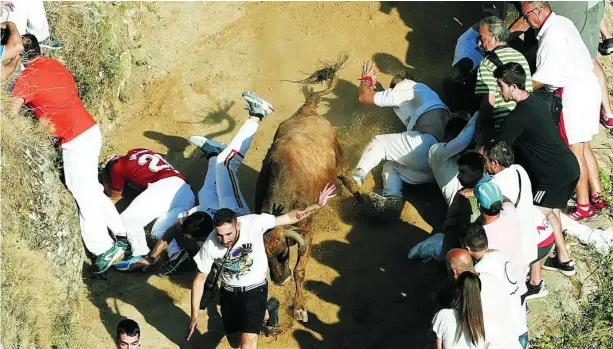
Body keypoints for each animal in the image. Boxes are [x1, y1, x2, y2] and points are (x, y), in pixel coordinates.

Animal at [253, 54, 358, 320]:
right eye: (265, 257)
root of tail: (307, 110)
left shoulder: (307, 230)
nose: (279, 281)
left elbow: (300, 270)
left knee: (350, 181)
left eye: (283, 252)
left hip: (341, 162)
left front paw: (299, 307)